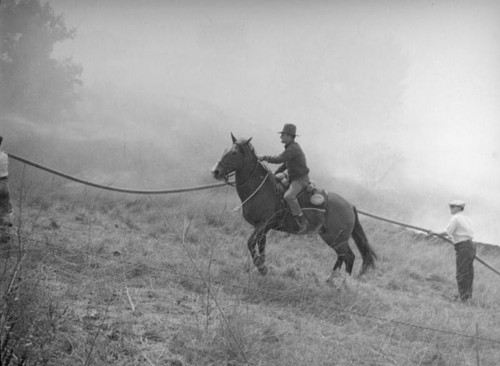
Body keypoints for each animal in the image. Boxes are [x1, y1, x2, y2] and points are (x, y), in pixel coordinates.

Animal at [210, 134, 376, 278]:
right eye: (225, 150)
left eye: (234, 153)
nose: (215, 171)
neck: (262, 189)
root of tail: (350, 206)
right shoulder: (263, 228)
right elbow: (261, 246)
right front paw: (263, 268)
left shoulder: (264, 224)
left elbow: (250, 242)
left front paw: (261, 266)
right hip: (332, 238)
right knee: (342, 256)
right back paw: (330, 280)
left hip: (336, 238)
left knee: (349, 256)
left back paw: (343, 283)